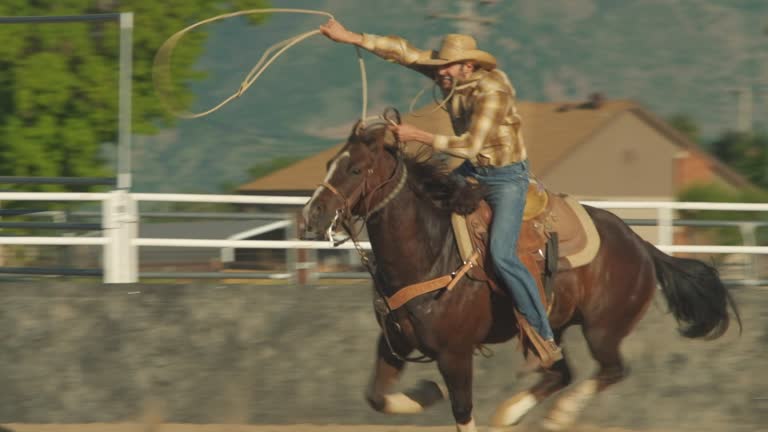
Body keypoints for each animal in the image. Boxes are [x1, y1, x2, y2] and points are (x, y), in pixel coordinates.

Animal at [298, 120, 736, 430]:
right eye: (329, 164)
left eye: (356, 169)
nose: (310, 217)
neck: (431, 252)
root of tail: (641, 244)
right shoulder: (393, 343)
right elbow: (376, 396)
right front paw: (426, 391)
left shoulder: (455, 354)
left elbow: (462, 410)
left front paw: (434, 392)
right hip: (552, 327)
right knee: (562, 371)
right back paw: (511, 413)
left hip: (603, 328)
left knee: (611, 369)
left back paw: (560, 415)